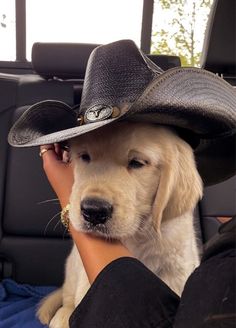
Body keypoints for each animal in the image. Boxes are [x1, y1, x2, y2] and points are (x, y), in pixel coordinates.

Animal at [37, 122, 203, 328]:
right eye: (85, 157)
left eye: (137, 163)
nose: (94, 211)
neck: (135, 237)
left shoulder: (177, 270)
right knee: (68, 296)